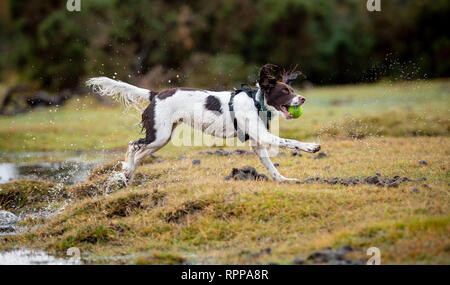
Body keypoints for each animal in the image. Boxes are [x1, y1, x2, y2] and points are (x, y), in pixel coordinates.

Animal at [87, 63, 320, 184]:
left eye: (292, 90)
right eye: (285, 92)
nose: (302, 99)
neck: (257, 103)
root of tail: (156, 94)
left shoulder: (257, 142)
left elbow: (271, 166)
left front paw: (284, 180)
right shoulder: (263, 136)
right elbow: (290, 141)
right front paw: (311, 146)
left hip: (161, 138)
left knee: (139, 153)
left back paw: (128, 173)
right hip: (158, 135)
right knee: (132, 145)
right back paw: (127, 170)